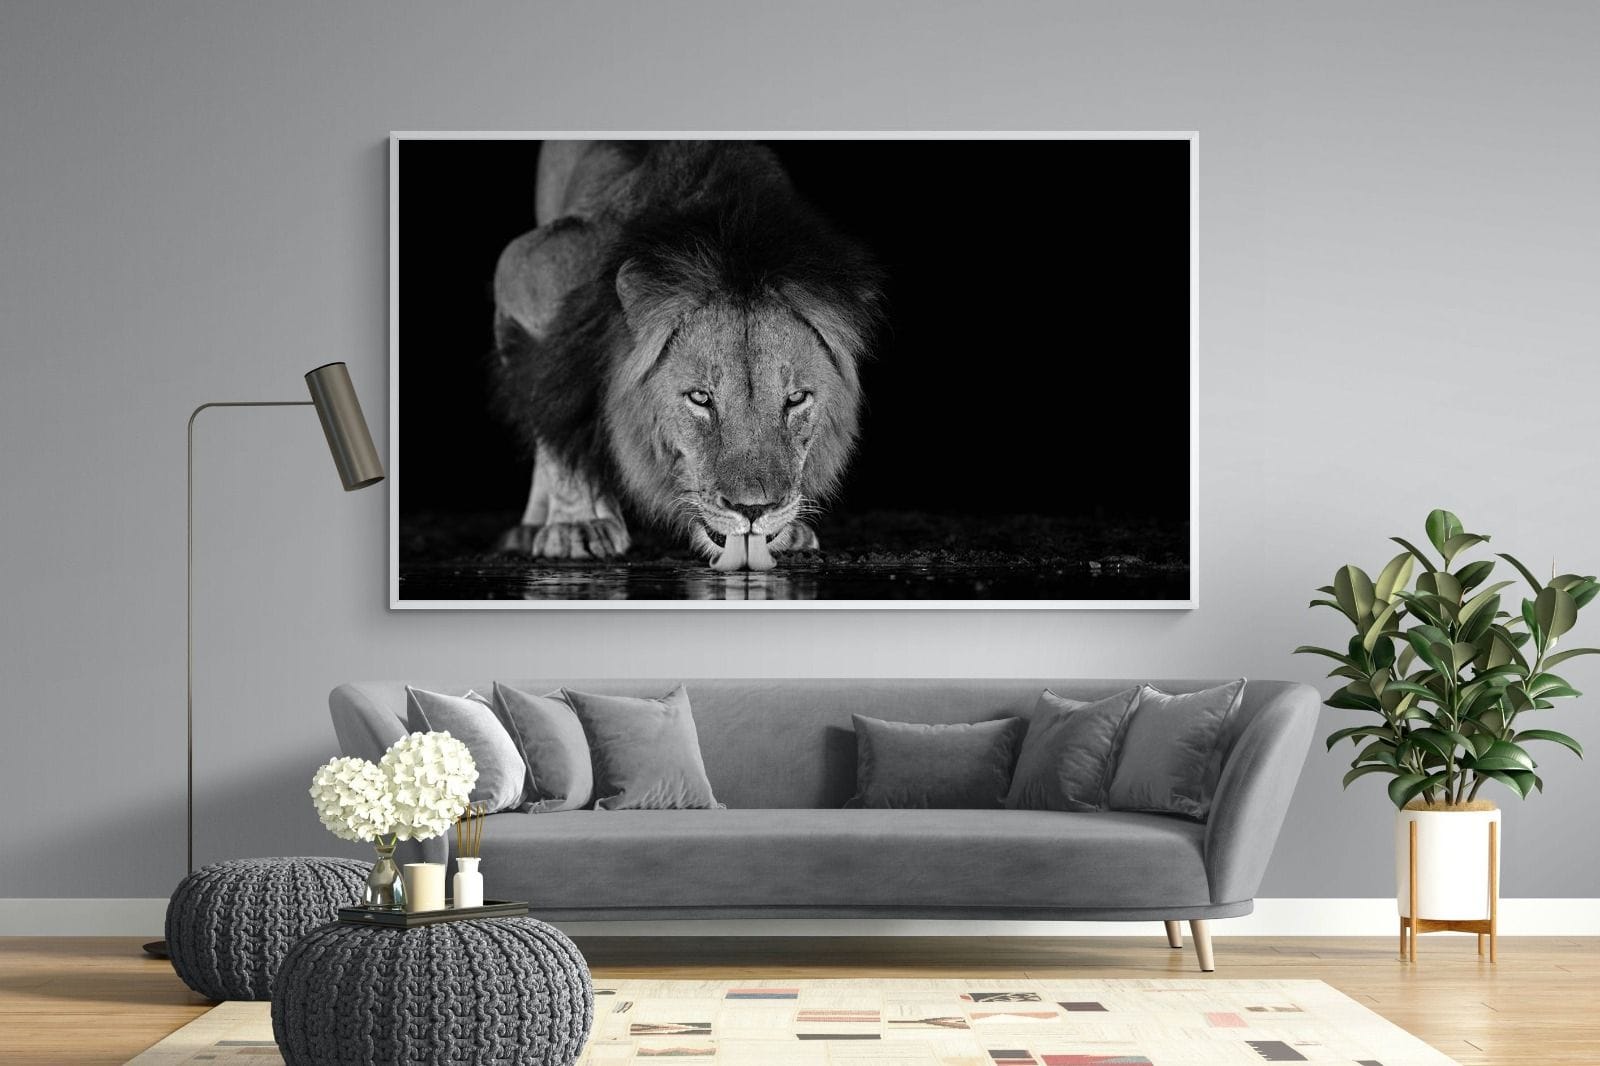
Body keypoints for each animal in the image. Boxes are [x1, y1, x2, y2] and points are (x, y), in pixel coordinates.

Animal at [488, 141, 883, 572]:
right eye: (700, 398)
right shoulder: (525, 271)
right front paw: (577, 525)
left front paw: (789, 529)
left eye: (795, 399)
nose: (754, 510)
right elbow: (555, 411)